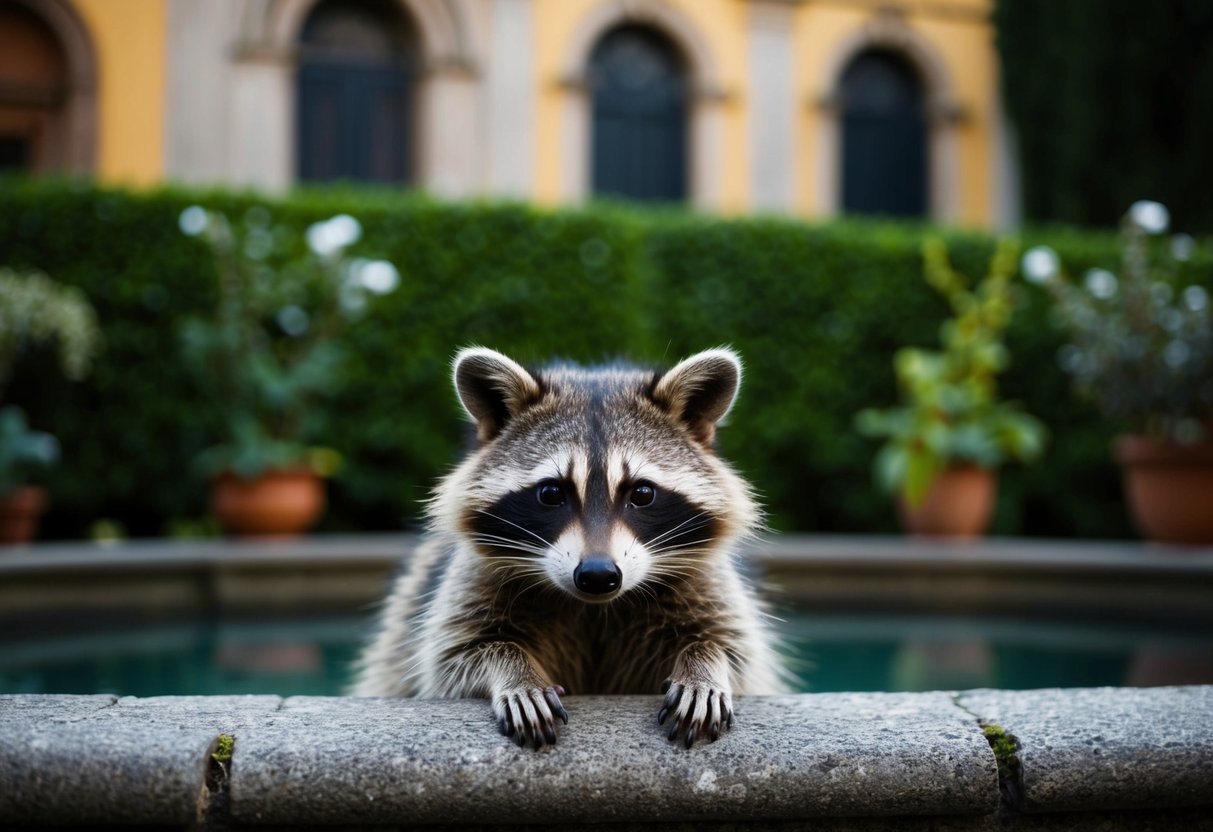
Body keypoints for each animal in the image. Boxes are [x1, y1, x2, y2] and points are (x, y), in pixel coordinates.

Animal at [352, 347, 788, 748]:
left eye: (642, 493)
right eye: (551, 493)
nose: (597, 575)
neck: (594, 609)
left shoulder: (707, 580)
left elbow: (734, 648)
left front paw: (705, 665)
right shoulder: (470, 581)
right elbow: (455, 656)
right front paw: (515, 671)